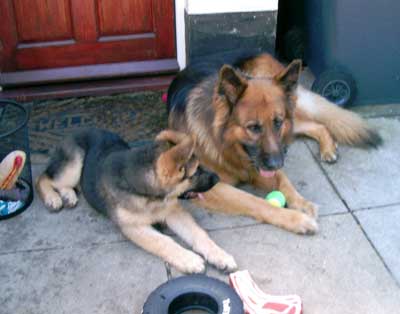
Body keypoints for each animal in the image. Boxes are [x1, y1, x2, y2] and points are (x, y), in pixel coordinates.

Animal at [36, 129, 238, 274]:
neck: (149, 197)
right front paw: (189, 259)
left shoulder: (173, 212)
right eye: (196, 172)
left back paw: (68, 195)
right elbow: (163, 241)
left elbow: (199, 234)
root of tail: (72, 132)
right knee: (44, 178)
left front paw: (220, 255)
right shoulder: (133, 227)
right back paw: (53, 198)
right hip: (74, 164)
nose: (217, 178)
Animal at [166, 52, 382, 233]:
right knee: (315, 125)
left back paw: (328, 148)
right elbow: (254, 201)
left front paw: (302, 203)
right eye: (253, 127)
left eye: (277, 122)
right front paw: (297, 219)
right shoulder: (210, 186)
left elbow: (284, 181)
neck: (228, 148)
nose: (277, 164)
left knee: (318, 124)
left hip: (291, 114)